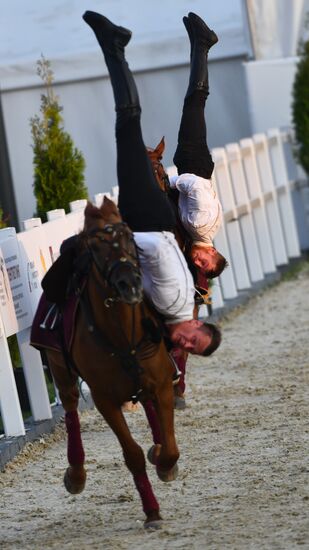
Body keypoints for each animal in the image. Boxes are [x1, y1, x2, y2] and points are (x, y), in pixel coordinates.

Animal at [30, 198, 179, 532]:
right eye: (95, 246)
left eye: (128, 235)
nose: (129, 282)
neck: (123, 335)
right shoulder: (105, 400)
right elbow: (132, 454)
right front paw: (152, 511)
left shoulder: (162, 383)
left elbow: (171, 446)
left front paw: (164, 461)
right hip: (60, 369)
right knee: (71, 406)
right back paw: (76, 473)